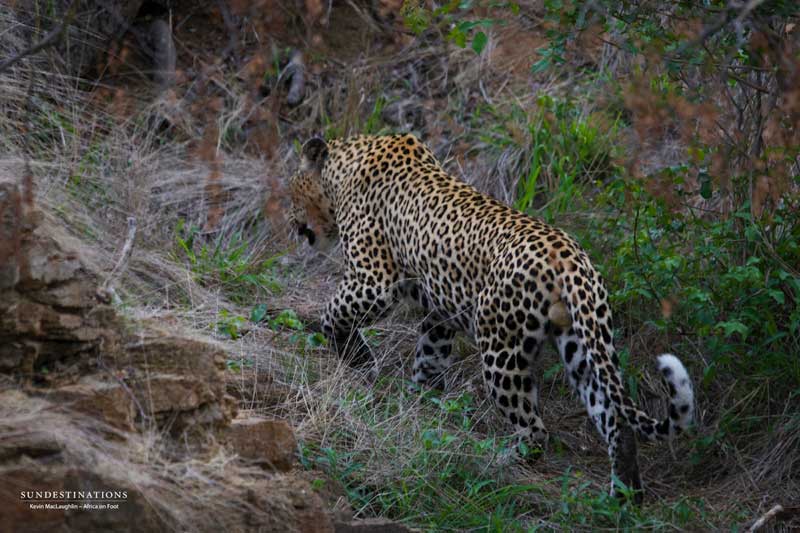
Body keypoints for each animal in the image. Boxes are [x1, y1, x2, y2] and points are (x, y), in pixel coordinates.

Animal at [286, 133, 695, 499]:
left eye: (291, 188)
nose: (291, 221)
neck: (343, 167)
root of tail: (568, 256)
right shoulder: (440, 312)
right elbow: (429, 358)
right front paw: (420, 405)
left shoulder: (373, 281)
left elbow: (333, 314)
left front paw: (356, 358)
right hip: (582, 344)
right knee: (613, 417)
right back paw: (624, 494)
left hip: (502, 351)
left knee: (534, 427)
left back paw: (503, 462)